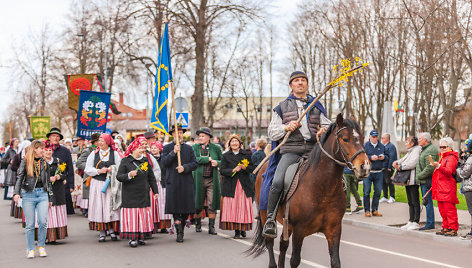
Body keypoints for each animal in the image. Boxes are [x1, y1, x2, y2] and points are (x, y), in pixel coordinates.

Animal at [249, 114, 370, 266]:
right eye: (345, 139)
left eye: (362, 138)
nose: (365, 167)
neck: (323, 189)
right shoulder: (299, 230)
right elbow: (295, 260)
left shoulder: (334, 230)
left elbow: (335, 261)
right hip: (265, 214)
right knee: (269, 242)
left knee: (283, 245)